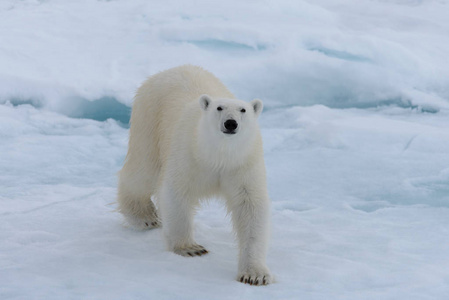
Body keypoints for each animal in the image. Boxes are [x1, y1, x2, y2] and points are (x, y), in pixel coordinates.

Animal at [117, 64, 272, 284]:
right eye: (219, 108)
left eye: (243, 110)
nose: (230, 123)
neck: (218, 155)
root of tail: (170, 70)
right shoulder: (188, 154)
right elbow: (175, 193)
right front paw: (191, 248)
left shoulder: (243, 164)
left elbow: (251, 207)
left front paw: (255, 274)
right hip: (148, 119)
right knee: (143, 171)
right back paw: (145, 217)